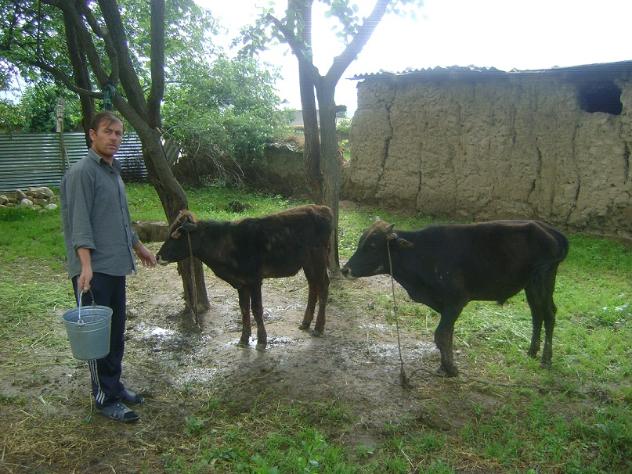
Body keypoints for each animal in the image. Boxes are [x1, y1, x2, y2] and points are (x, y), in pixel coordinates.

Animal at [156, 205, 332, 349]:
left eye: (176, 235)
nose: (158, 256)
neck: (226, 243)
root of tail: (321, 208)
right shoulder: (241, 283)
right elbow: (244, 309)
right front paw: (243, 339)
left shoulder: (254, 280)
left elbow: (256, 309)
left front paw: (261, 341)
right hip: (308, 263)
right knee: (313, 286)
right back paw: (306, 323)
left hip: (318, 258)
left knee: (323, 285)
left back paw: (318, 327)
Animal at [341, 219, 568, 376]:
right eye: (360, 242)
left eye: (372, 246)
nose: (345, 269)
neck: (420, 254)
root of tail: (549, 230)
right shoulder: (444, 306)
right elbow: (447, 334)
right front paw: (444, 366)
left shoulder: (456, 301)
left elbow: (441, 334)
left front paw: (451, 369)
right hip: (531, 286)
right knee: (537, 314)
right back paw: (532, 352)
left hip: (543, 280)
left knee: (549, 314)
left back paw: (546, 359)